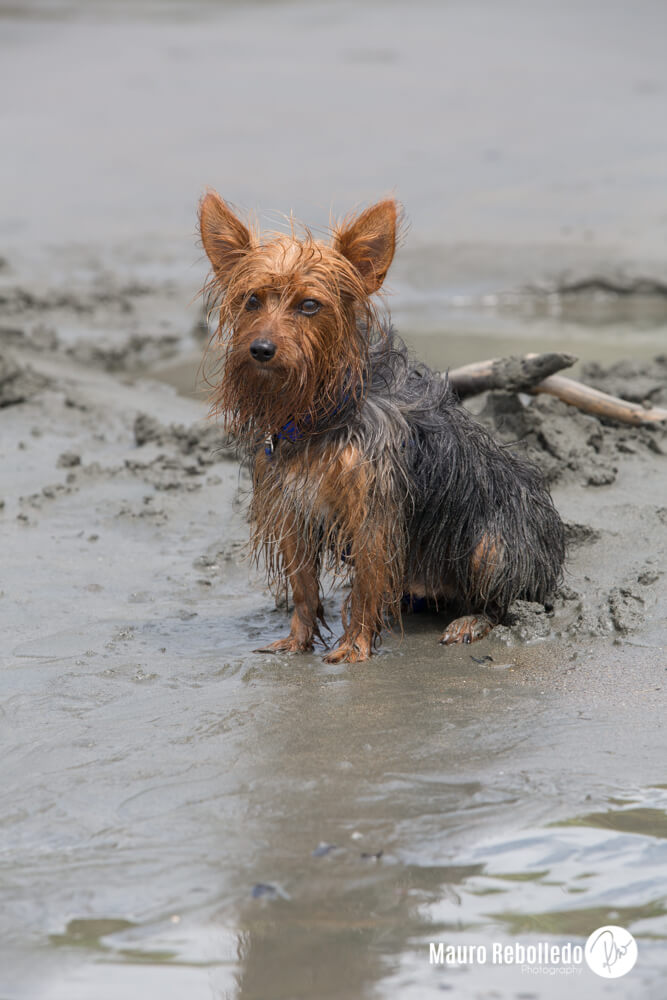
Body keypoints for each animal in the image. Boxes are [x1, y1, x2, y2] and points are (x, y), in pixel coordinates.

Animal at [198, 193, 565, 663]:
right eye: (252, 300)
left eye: (310, 305)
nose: (260, 348)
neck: (321, 412)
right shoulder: (291, 505)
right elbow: (303, 587)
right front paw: (298, 642)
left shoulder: (372, 510)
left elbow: (367, 585)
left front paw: (355, 645)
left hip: (493, 545)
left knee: (501, 603)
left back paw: (470, 621)